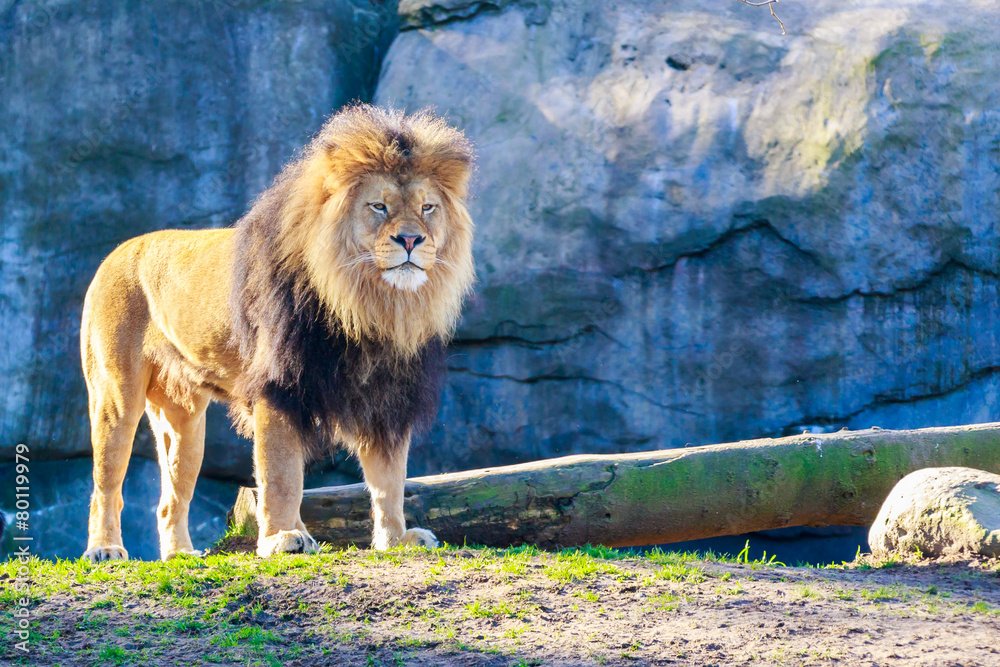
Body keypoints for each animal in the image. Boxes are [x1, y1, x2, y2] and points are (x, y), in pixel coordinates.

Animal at [81, 105, 475, 561]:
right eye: (378, 206)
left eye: (428, 207)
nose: (410, 239)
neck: (368, 303)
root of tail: (117, 251)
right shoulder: (280, 385)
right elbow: (282, 472)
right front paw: (281, 538)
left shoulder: (386, 397)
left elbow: (389, 480)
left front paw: (396, 539)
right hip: (115, 395)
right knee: (105, 483)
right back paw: (105, 549)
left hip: (184, 420)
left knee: (169, 498)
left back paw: (180, 554)